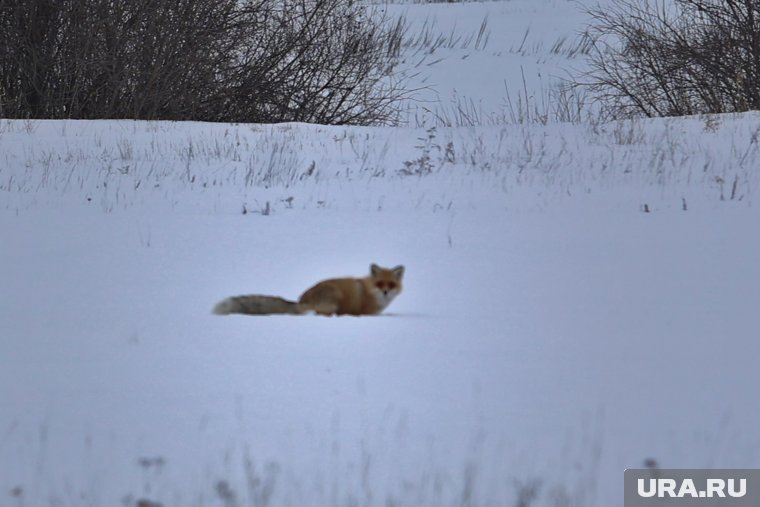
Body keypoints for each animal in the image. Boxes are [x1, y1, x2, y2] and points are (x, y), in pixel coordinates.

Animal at [212, 264, 404, 316]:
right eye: (379, 284)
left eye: (391, 285)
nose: (386, 292)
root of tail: (300, 301)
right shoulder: (366, 313)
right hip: (333, 298)